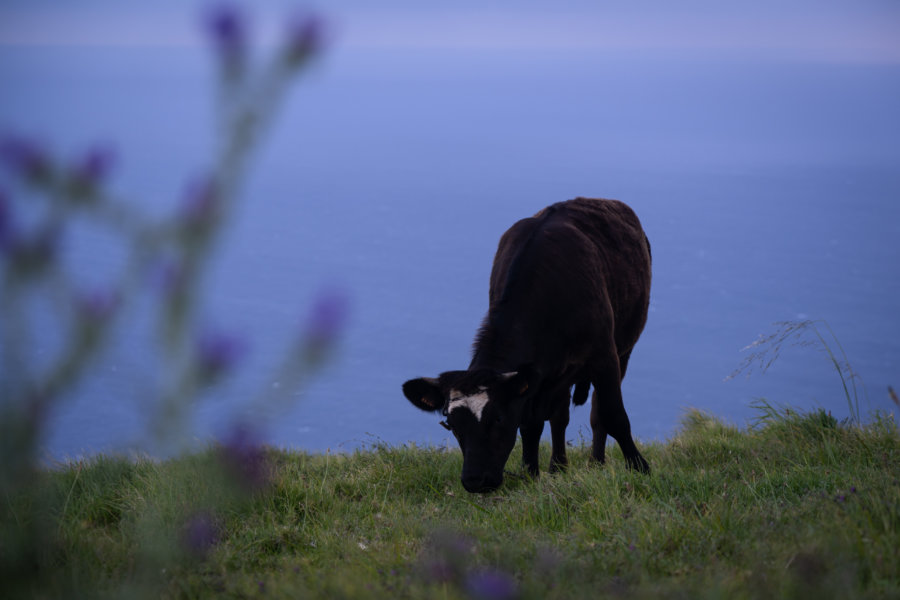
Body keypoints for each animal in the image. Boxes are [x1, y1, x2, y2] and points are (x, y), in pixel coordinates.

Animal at [404, 197, 652, 492]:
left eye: (497, 418)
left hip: (624, 349)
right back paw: (558, 467)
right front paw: (531, 474)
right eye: (451, 425)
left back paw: (596, 462)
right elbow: (530, 426)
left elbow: (614, 415)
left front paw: (640, 468)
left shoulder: (604, 357)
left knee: (596, 413)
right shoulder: (536, 377)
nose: (475, 480)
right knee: (559, 417)